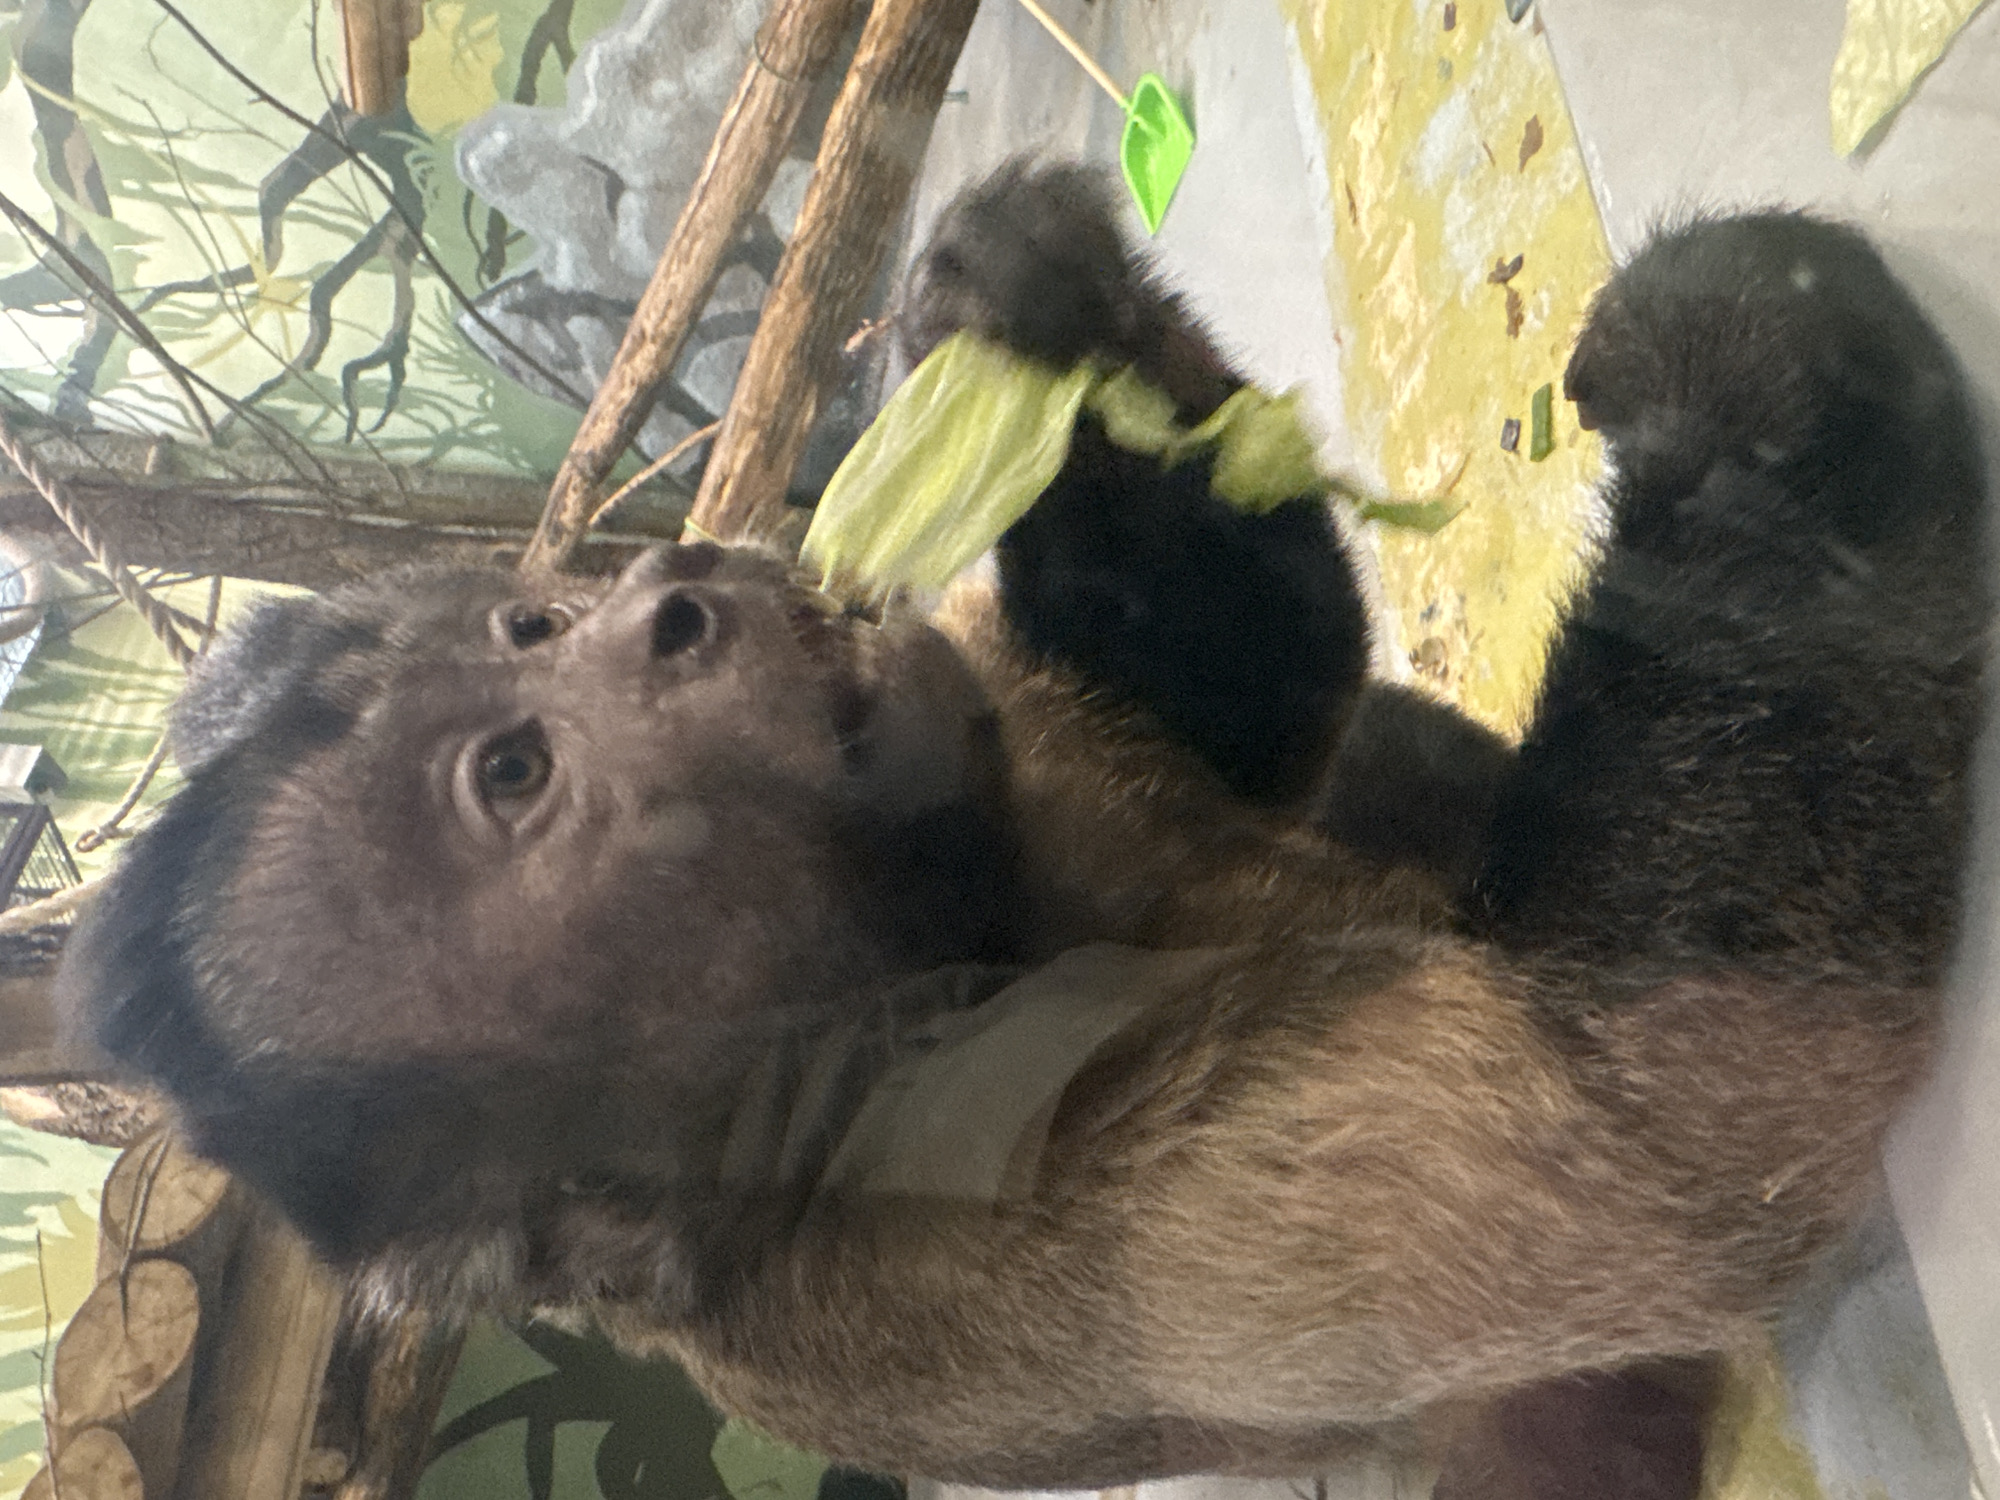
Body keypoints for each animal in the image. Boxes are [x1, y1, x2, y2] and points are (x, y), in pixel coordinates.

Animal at [55, 163, 1987, 1500]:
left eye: (535, 628)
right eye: (518, 774)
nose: (669, 597)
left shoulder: (972, 732)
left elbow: (1261, 703)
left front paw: (1038, 321)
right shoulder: (955, 1211)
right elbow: (1643, 1136)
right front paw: (1751, 401)